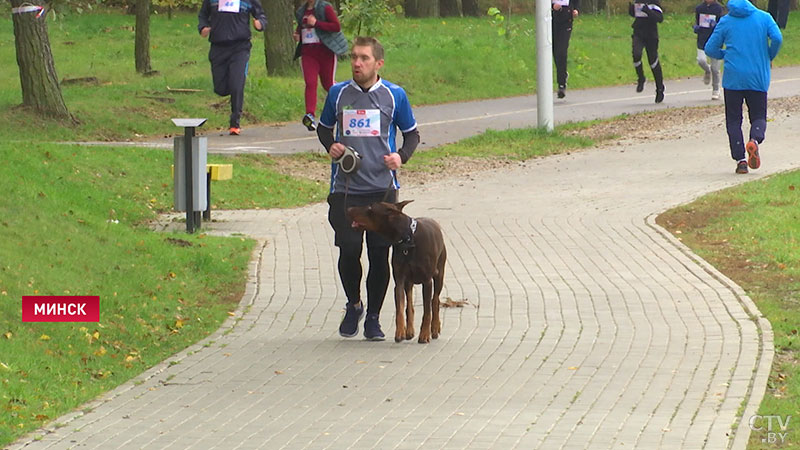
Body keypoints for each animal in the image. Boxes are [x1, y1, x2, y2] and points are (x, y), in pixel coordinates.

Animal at [346, 200, 446, 344]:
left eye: (370, 208)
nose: (348, 209)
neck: (408, 240)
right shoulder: (399, 280)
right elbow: (400, 308)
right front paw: (400, 332)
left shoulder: (427, 281)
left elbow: (427, 311)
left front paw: (424, 334)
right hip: (409, 281)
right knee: (409, 304)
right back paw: (409, 331)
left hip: (439, 275)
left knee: (435, 300)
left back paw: (435, 328)